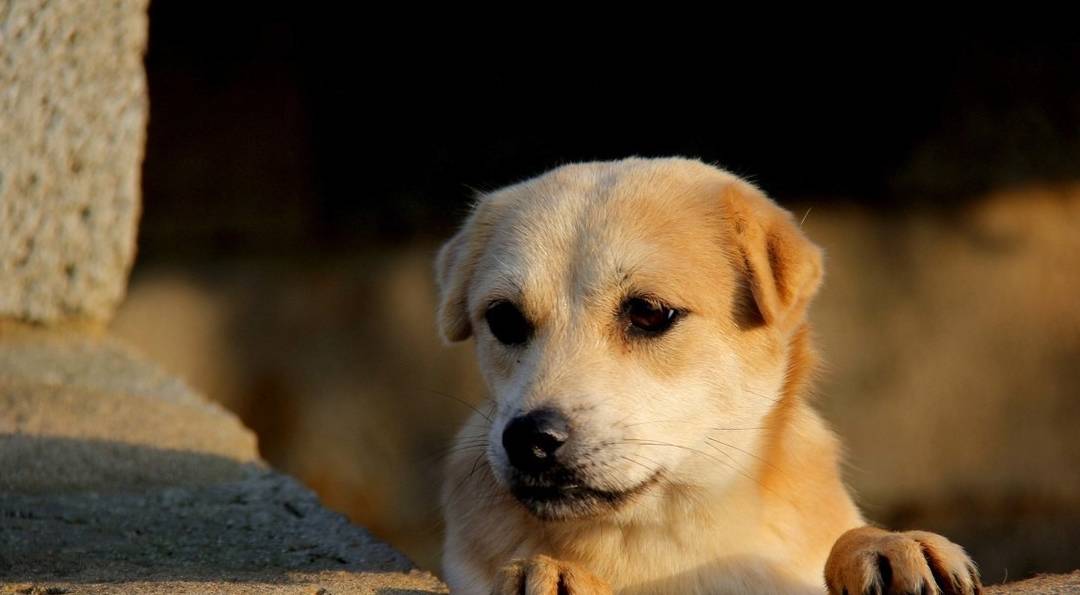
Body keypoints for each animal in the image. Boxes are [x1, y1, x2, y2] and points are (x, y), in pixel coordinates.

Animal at [434, 159, 984, 595]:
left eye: (649, 312)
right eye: (504, 319)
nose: (528, 439)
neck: (668, 536)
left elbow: (848, 537)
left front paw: (890, 545)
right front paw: (550, 571)